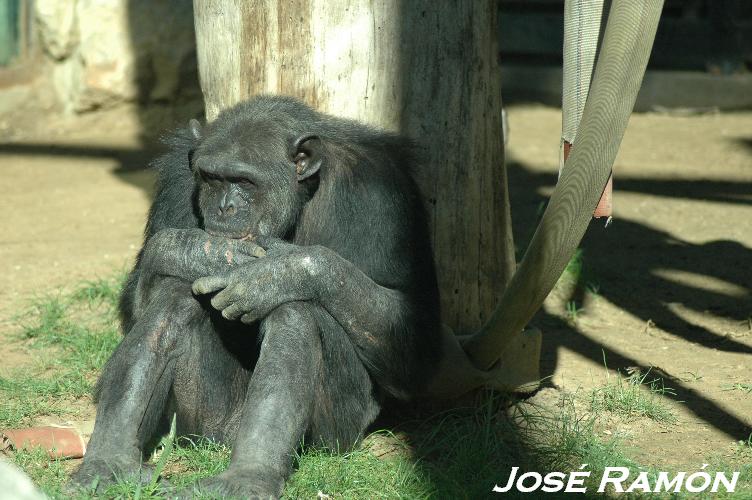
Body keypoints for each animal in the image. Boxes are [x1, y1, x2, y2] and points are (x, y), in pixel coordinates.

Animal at [72, 95, 440, 498]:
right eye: (212, 178)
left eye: (244, 181)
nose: (224, 207)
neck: (304, 194)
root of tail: (226, 439)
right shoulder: (176, 176)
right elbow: (139, 296)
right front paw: (197, 251)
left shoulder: (382, 189)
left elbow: (413, 330)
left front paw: (281, 271)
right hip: (200, 422)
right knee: (176, 296)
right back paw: (109, 461)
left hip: (337, 432)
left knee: (294, 311)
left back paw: (247, 475)